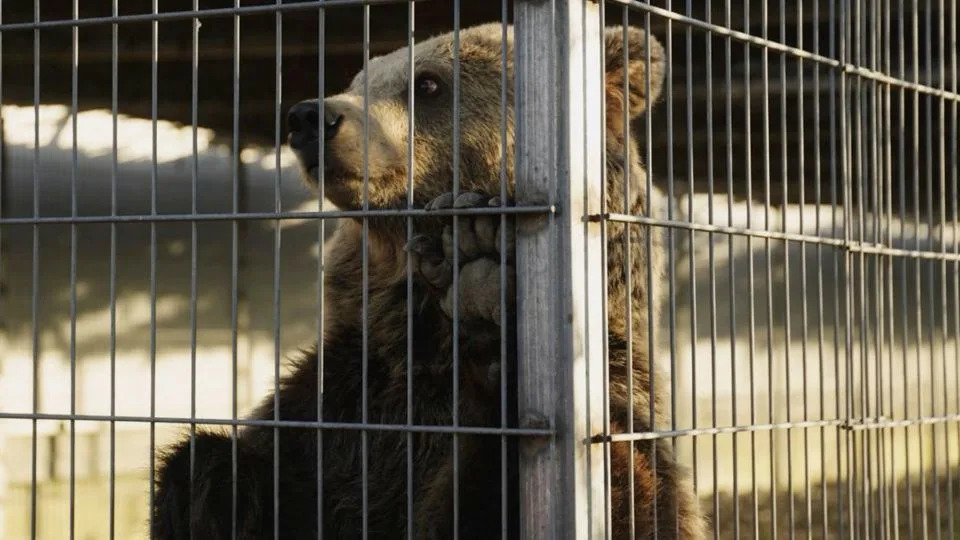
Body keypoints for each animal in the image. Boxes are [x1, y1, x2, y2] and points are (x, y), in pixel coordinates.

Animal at [151, 22, 705, 539]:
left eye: (428, 83)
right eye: (359, 81)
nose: (311, 117)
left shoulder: (619, 386)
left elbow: (633, 495)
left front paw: (483, 288)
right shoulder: (341, 408)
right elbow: (236, 466)